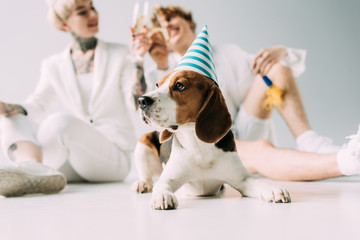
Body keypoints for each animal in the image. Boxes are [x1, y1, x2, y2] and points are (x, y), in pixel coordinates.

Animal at [132, 70, 290, 209]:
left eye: (179, 85)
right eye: (157, 85)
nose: (141, 100)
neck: (199, 147)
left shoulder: (242, 179)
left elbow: (258, 182)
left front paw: (273, 189)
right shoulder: (169, 177)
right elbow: (162, 184)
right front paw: (163, 195)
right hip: (142, 143)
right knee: (145, 173)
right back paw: (142, 183)